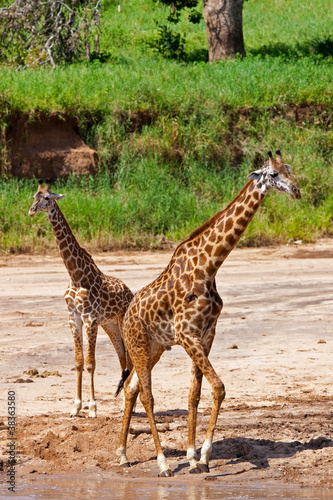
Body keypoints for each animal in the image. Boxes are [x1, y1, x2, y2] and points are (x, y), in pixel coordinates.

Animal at [28, 180, 132, 418]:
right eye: (33, 196)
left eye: (46, 198)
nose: (31, 211)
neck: (75, 275)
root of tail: (131, 292)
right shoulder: (73, 317)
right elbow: (78, 361)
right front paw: (75, 407)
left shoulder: (90, 319)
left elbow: (91, 363)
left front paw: (92, 408)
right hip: (111, 325)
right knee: (123, 360)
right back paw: (124, 405)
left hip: (121, 322)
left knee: (130, 360)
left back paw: (127, 405)